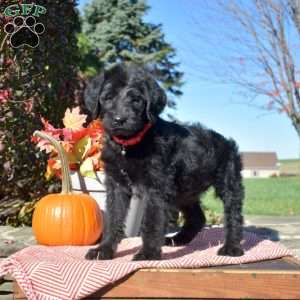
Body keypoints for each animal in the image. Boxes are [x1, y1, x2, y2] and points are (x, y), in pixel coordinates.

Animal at [84, 63, 244, 260]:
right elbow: (113, 218)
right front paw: (103, 249)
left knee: (233, 215)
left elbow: (152, 221)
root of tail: (225, 140)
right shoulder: (116, 185)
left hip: (228, 183)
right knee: (198, 217)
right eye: (107, 98)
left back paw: (231, 247)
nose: (119, 119)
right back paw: (178, 239)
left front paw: (148, 253)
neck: (131, 145)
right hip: (184, 191)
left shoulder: (157, 187)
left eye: (136, 100)